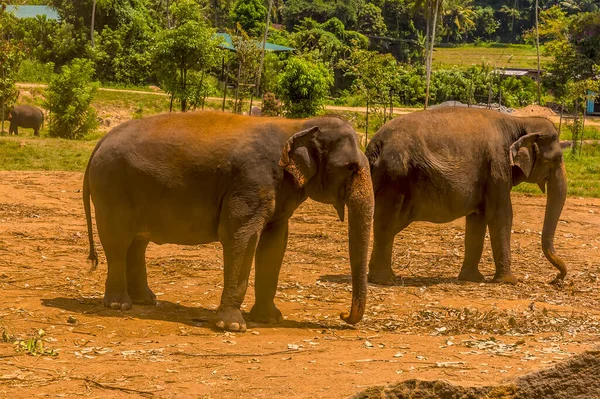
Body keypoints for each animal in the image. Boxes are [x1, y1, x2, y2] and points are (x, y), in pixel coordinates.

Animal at [83, 111, 376, 332]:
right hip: (111, 189)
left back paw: (146, 300)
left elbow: (274, 243)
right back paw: (119, 305)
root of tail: (101, 141)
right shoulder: (250, 180)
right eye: (351, 168)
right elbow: (241, 236)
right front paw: (233, 327)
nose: (342, 315)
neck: (298, 124)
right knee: (118, 242)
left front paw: (269, 319)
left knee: (137, 243)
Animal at [366, 108, 568, 286]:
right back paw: (383, 280)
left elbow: (477, 218)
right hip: (395, 177)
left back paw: (382, 277)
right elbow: (501, 215)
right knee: (387, 223)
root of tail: (374, 145)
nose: (556, 279)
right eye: (554, 160)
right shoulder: (498, 167)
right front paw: (509, 281)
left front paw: (472, 279)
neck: (520, 121)